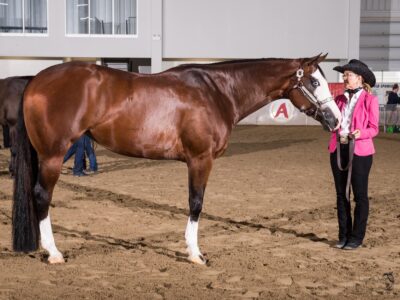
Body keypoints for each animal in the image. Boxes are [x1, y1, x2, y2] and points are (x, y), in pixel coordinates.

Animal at [11, 54, 340, 264]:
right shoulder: (200, 159)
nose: (335, 120)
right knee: (41, 196)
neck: (218, 91)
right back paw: (54, 253)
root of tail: (35, 79)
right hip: (53, 155)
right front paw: (195, 254)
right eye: (314, 83)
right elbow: (196, 203)